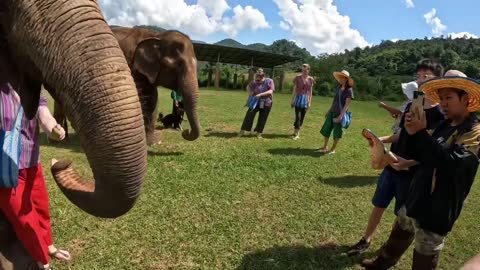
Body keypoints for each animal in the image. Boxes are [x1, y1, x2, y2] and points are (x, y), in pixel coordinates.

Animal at [54, 25, 201, 146]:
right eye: (178, 65)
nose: (185, 131)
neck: (156, 36)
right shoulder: (131, 65)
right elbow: (141, 98)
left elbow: (152, 99)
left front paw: (152, 142)